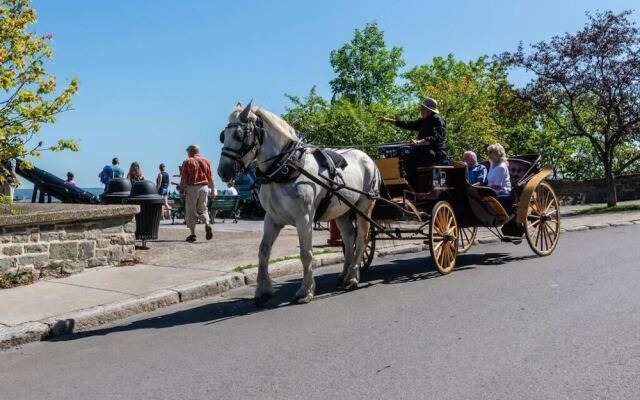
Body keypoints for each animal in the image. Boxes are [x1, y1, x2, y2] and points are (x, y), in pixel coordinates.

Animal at [220, 102, 380, 304]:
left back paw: (352, 277)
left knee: (361, 239)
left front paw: (306, 290)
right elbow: (263, 252)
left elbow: (306, 253)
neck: (286, 169)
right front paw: (263, 290)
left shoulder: (304, 219)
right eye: (223, 136)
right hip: (342, 209)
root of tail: (367, 157)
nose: (222, 171)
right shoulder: (272, 218)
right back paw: (344, 275)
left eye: (239, 135)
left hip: (364, 207)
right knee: (349, 237)